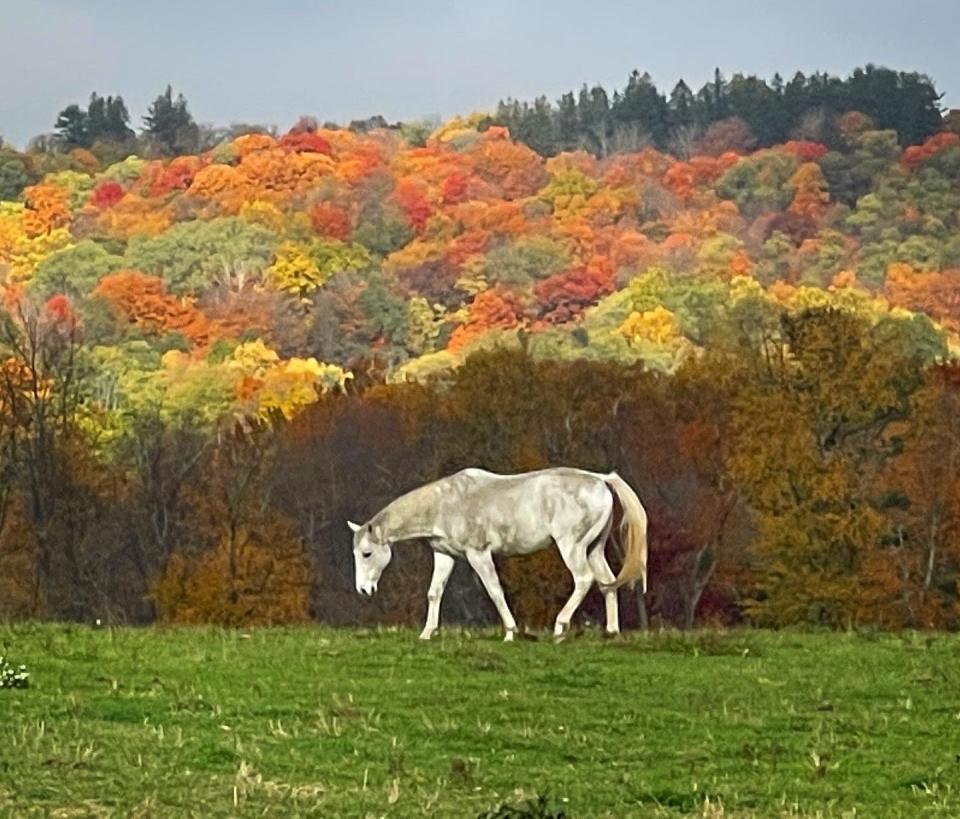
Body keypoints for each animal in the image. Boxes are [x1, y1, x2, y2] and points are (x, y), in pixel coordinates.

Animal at [348, 468, 648, 640]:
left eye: (366, 553)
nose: (363, 590)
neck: (446, 503)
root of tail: (601, 480)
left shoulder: (479, 554)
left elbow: (495, 591)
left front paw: (510, 632)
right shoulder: (445, 556)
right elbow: (434, 593)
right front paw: (426, 633)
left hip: (571, 546)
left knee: (584, 580)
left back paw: (560, 626)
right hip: (594, 548)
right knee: (607, 582)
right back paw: (611, 631)